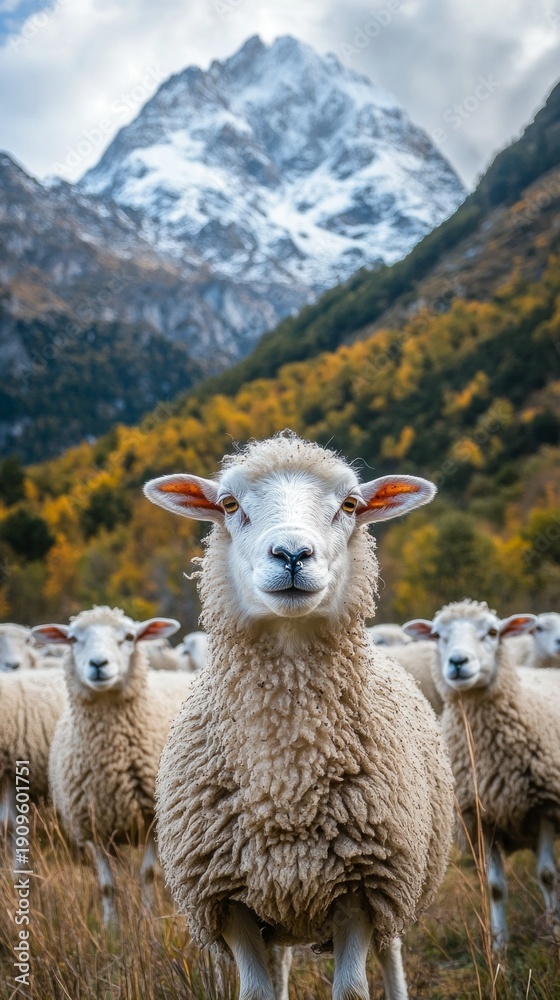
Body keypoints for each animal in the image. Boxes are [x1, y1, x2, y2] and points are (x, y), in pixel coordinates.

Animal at [32, 607, 194, 928]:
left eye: (129, 637)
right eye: (73, 639)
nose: (98, 664)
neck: (112, 764)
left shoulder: (152, 821)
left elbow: (148, 875)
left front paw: (147, 923)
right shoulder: (91, 827)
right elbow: (107, 885)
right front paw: (111, 929)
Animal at [144, 432, 454, 1000]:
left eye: (350, 505)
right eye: (229, 505)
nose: (291, 554)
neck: (288, 778)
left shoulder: (364, 889)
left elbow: (353, 989)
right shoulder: (228, 900)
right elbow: (256, 992)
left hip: (398, 886)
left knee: (392, 953)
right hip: (278, 909)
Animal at [404, 600, 560, 952]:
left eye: (491, 632)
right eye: (438, 635)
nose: (458, 662)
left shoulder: (544, 805)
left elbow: (547, 875)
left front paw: (555, 929)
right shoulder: (479, 817)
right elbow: (494, 886)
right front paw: (499, 944)